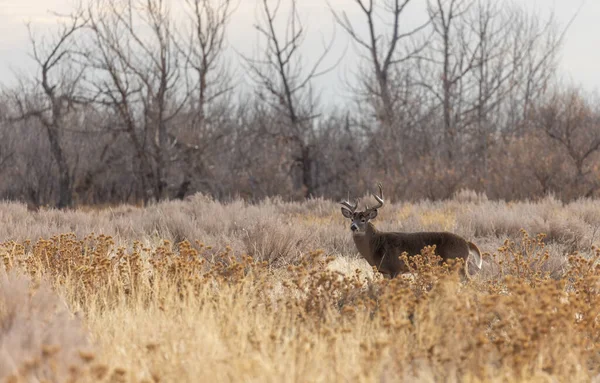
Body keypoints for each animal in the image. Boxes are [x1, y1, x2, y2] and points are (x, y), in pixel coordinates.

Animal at [342, 184, 482, 280]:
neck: (376, 246)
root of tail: (467, 243)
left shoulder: (395, 268)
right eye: (352, 219)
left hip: (457, 264)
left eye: (363, 220)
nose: (353, 227)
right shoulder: (385, 272)